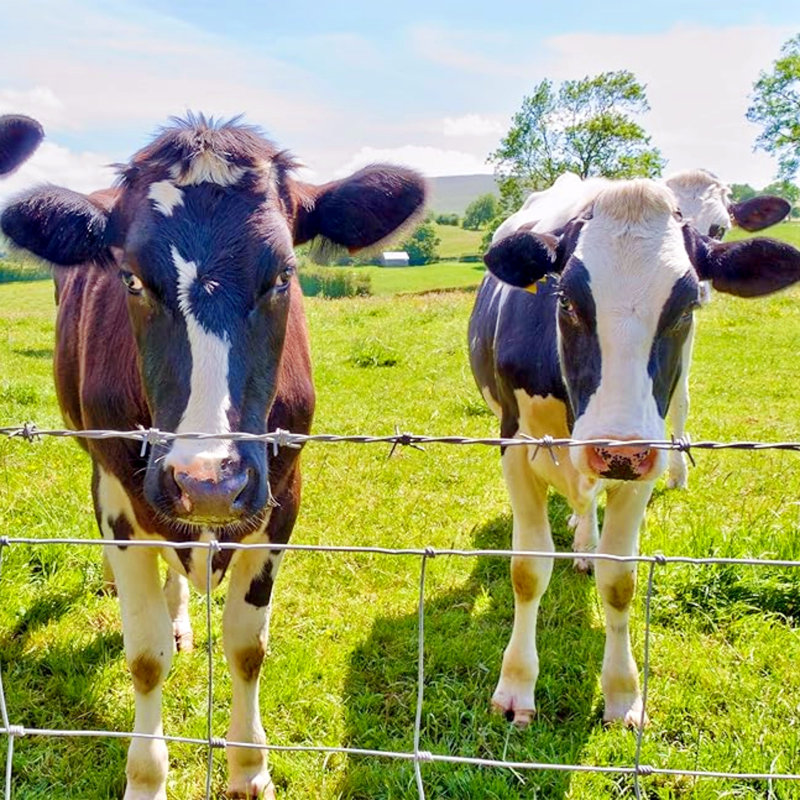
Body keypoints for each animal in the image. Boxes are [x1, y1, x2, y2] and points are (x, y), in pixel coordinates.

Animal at [1, 114, 426, 800]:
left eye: (283, 275)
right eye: (131, 278)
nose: (208, 482)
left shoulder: (282, 493)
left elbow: (247, 646)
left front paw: (249, 767)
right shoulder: (122, 500)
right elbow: (145, 655)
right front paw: (146, 779)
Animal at [468, 176, 800, 728]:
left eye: (685, 308)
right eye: (566, 302)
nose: (616, 449)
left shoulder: (648, 455)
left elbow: (620, 578)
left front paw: (623, 693)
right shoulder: (514, 445)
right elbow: (528, 570)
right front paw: (516, 685)